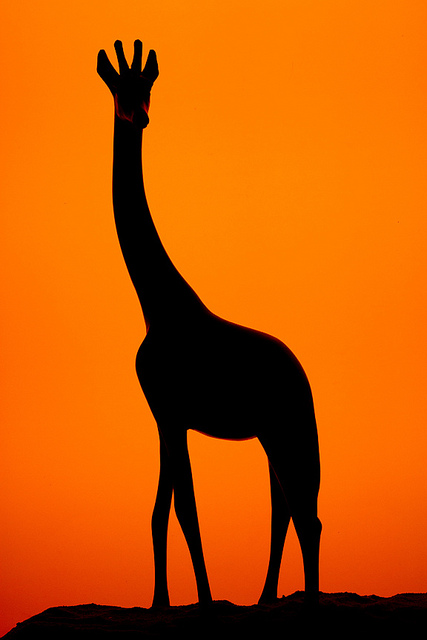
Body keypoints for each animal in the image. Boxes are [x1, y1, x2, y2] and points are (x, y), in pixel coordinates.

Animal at [97, 40, 321, 608]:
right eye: (119, 88)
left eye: (148, 89)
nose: (140, 117)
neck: (156, 304)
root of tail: (302, 373)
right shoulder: (163, 417)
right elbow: (161, 512)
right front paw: (161, 602)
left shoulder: (173, 416)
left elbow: (186, 511)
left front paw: (202, 601)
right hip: (270, 433)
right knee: (285, 508)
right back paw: (265, 600)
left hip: (291, 427)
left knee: (306, 512)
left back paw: (306, 602)